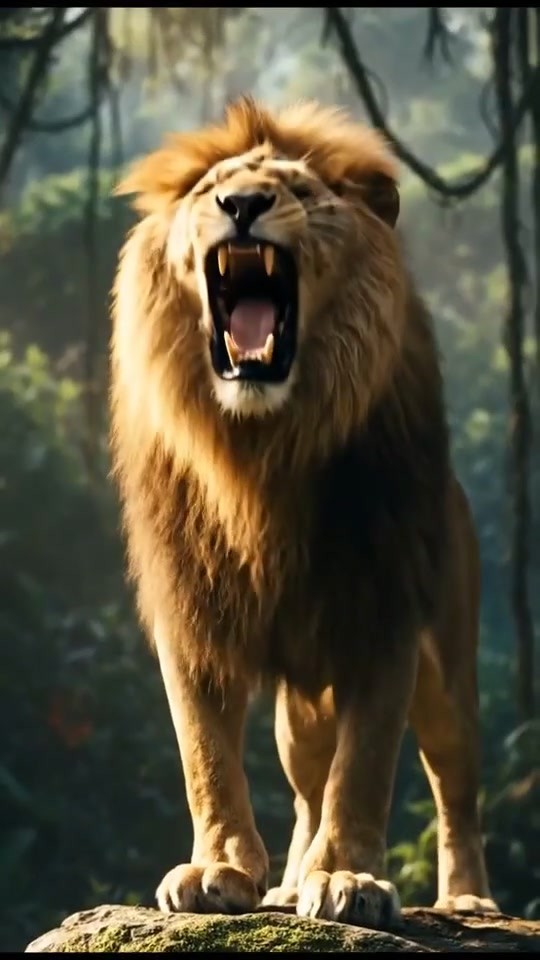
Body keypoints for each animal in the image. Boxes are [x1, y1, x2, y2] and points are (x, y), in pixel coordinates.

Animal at [109, 96, 497, 928]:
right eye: (210, 189)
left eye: (300, 191)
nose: (242, 205)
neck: (263, 452)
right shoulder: (192, 615)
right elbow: (207, 757)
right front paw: (219, 871)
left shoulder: (384, 613)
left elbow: (366, 768)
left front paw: (349, 879)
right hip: (302, 710)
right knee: (305, 787)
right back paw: (288, 883)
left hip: (448, 674)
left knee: (453, 783)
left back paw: (470, 899)